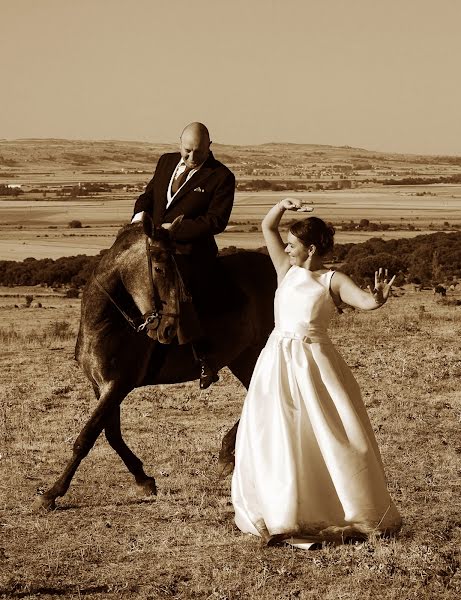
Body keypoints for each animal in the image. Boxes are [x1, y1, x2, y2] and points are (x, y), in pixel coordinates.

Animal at [35, 217, 276, 510]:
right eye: (159, 268)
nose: (169, 328)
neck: (109, 320)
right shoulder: (101, 385)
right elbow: (112, 434)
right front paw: (144, 480)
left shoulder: (119, 384)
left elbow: (87, 436)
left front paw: (52, 492)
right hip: (243, 358)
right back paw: (227, 454)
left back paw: (228, 454)